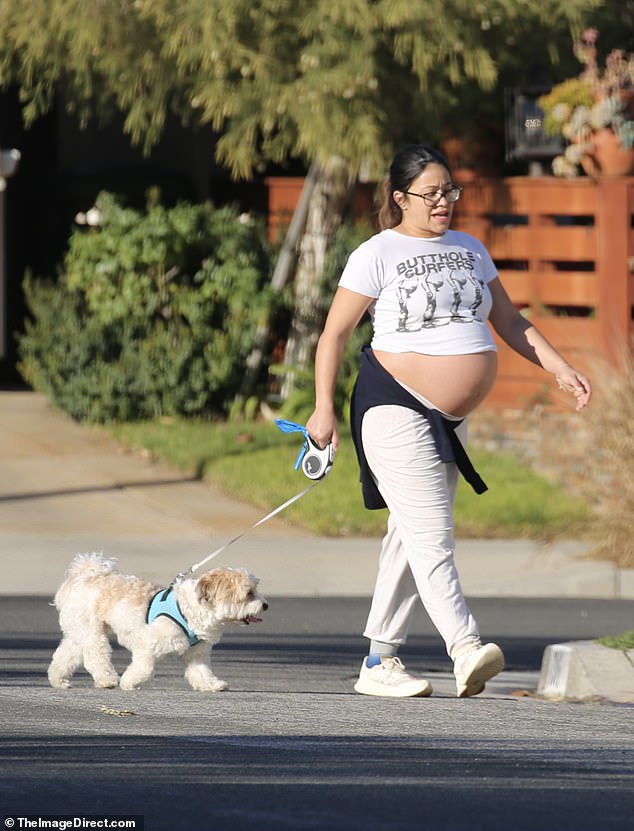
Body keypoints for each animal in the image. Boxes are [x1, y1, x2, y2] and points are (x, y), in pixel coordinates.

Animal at [47, 552, 266, 696]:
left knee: (66, 655)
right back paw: (107, 679)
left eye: (256, 590)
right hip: (92, 633)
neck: (190, 609)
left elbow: (201, 672)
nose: (265, 605)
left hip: (79, 632)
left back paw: (59, 680)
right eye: (248, 594)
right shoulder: (147, 645)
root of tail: (86, 576)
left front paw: (211, 685)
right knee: (95, 656)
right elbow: (145, 669)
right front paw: (129, 681)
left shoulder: (196, 654)